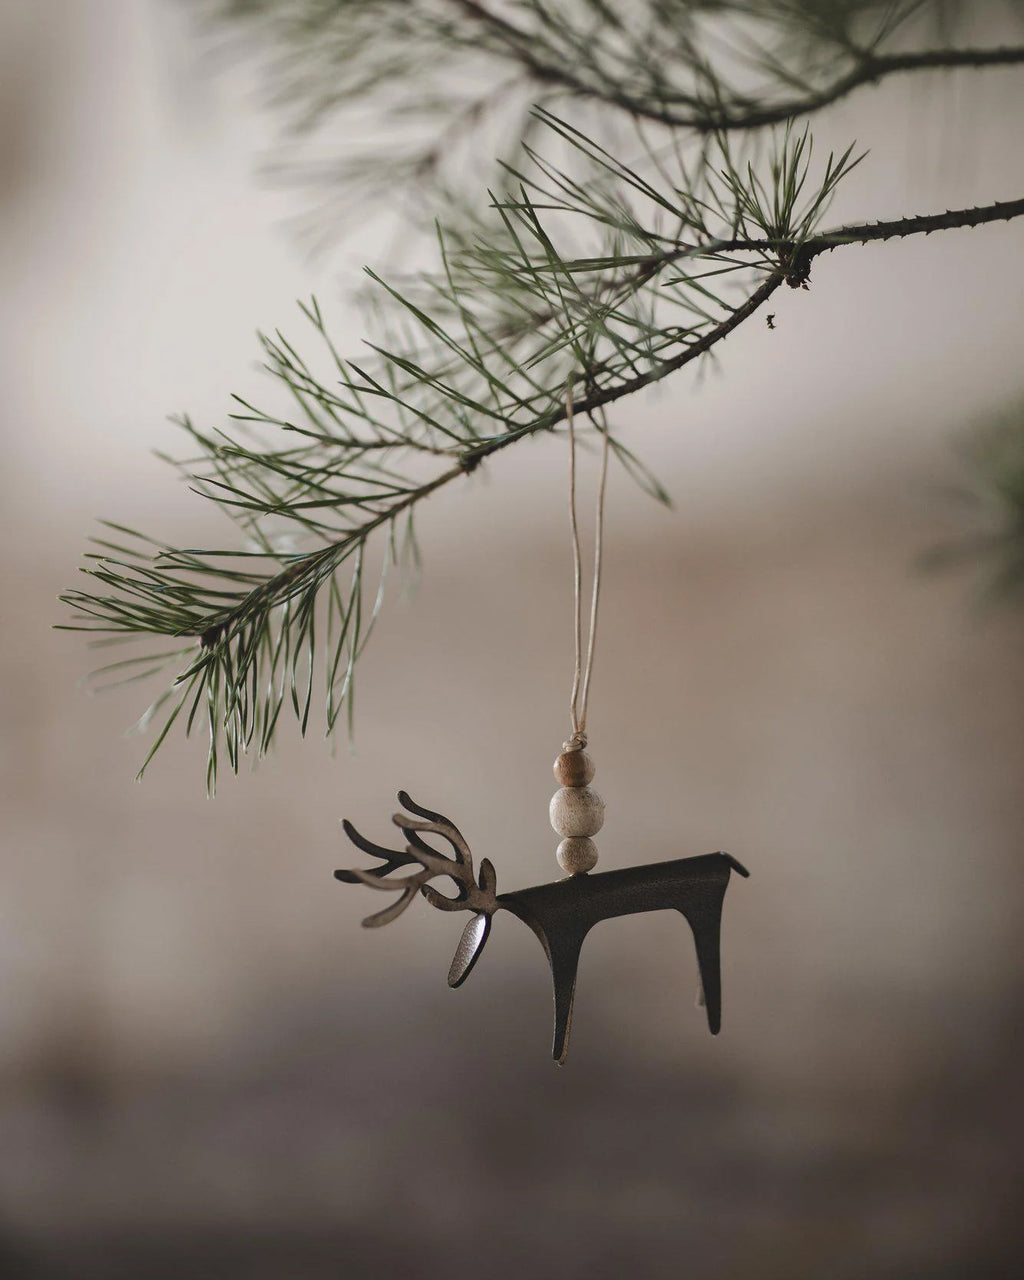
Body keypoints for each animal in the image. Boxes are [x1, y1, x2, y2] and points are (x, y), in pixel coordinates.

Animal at [335, 792, 749, 1064]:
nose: (453, 980)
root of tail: (727, 860)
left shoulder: (563, 935)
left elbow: (563, 1002)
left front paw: (557, 1053)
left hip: (704, 907)